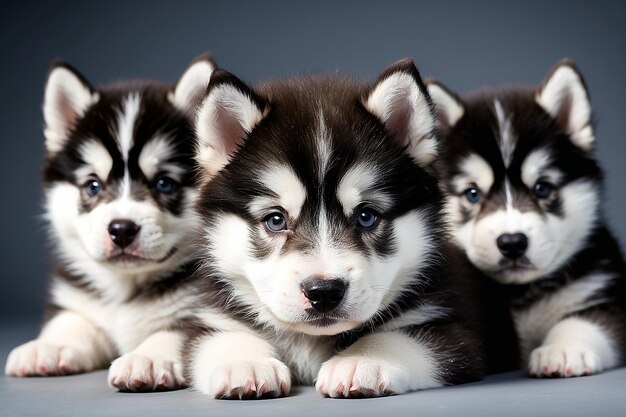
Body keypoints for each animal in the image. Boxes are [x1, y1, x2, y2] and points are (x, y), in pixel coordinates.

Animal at [4, 54, 214, 390]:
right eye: (93, 185)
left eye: (164, 184)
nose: (122, 229)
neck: (125, 291)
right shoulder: (80, 300)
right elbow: (71, 320)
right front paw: (50, 346)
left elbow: (176, 331)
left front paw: (148, 356)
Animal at [183, 57, 486, 396]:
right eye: (275, 219)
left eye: (366, 216)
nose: (324, 292)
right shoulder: (207, 317)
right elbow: (215, 338)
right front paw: (245, 363)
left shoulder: (457, 333)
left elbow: (404, 337)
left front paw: (363, 359)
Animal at [426, 61, 624, 376]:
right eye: (472, 193)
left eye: (542, 187)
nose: (512, 243)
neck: (515, 295)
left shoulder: (604, 295)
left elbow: (585, 321)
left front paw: (563, 349)